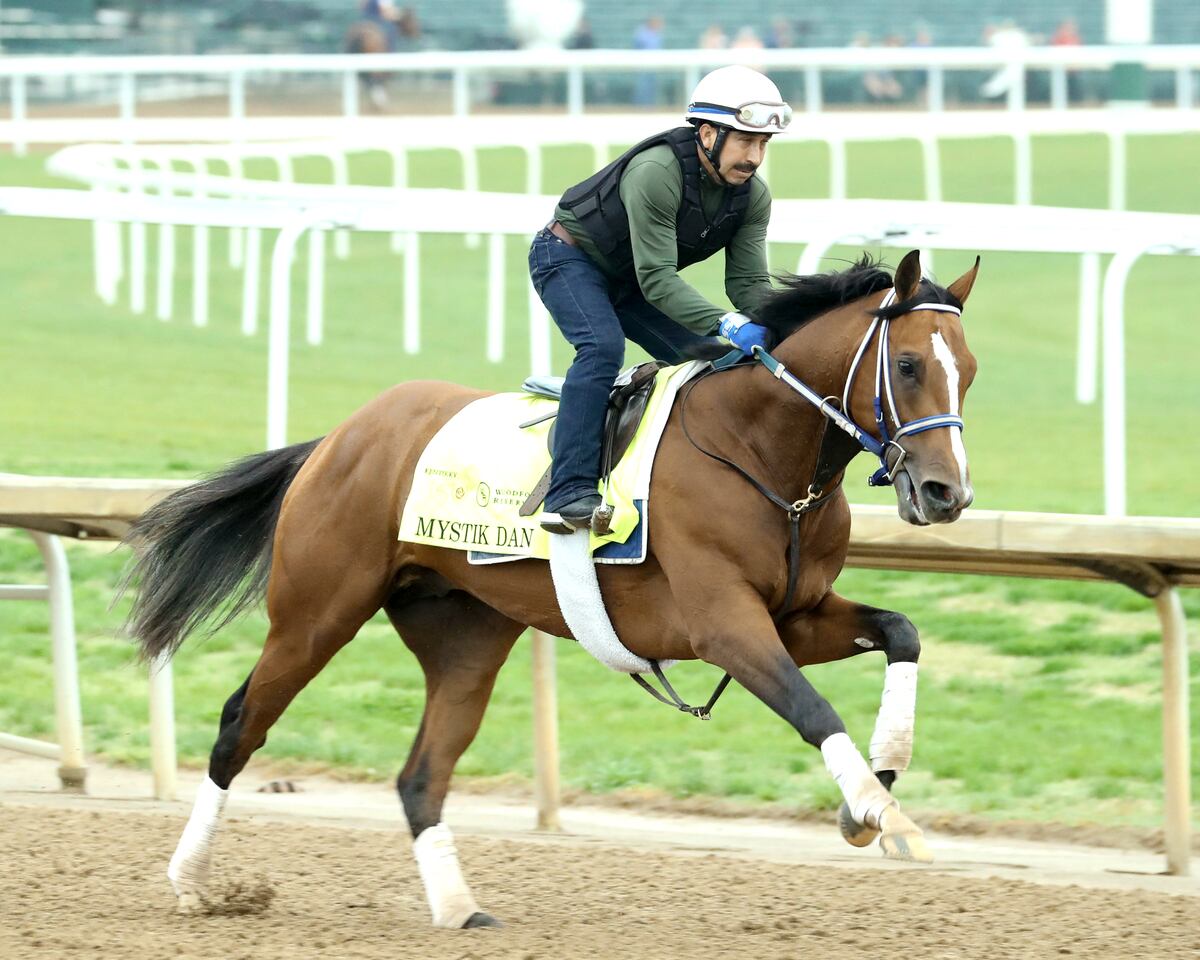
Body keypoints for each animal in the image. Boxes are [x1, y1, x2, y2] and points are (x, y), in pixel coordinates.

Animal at [126, 249, 979, 931]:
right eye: (908, 365)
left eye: (967, 372)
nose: (946, 494)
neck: (761, 453)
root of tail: (340, 436)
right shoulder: (723, 624)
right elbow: (813, 709)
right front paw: (883, 815)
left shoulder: (794, 615)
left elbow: (902, 632)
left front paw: (877, 784)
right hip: (316, 612)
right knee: (242, 724)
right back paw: (193, 882)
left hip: (465, 638)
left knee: (420, 776)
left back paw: (458, 908)